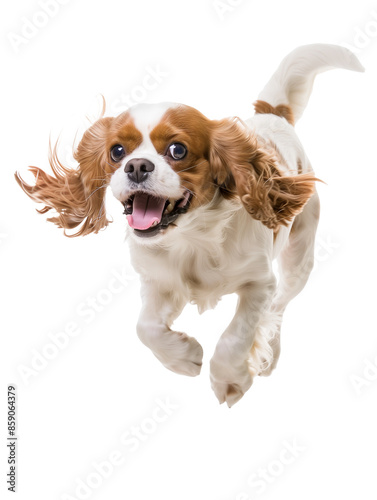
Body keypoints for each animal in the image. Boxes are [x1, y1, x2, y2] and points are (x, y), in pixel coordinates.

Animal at [16, 45, 362, 406]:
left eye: (177, 150)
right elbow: (145, 328)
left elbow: (237, 334)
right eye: (117, 151)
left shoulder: (259, 284)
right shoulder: (158, 282)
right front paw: (183, 357)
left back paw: (271, 353)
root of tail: (273, 115)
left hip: (299, 258)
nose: (136, 166)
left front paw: (229, 379)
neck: (192, 236)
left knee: (279, 306)